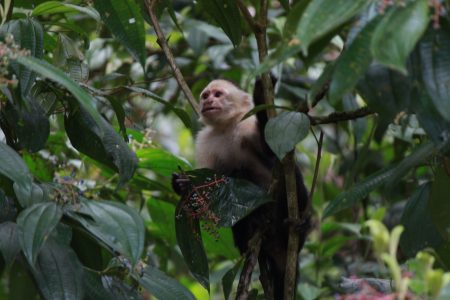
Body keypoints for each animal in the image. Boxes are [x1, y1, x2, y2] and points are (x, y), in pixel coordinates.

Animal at [173, 78, 310, 300]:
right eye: (205, 95)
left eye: (218, 94)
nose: (208, 101)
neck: (226, 127)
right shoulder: (204, 143)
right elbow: (206, 199)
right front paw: (182, 185)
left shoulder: (247, 124)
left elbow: (275, 153)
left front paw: (261, 94)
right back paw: (251, 230)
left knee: (289, 175)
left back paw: (300, 224)